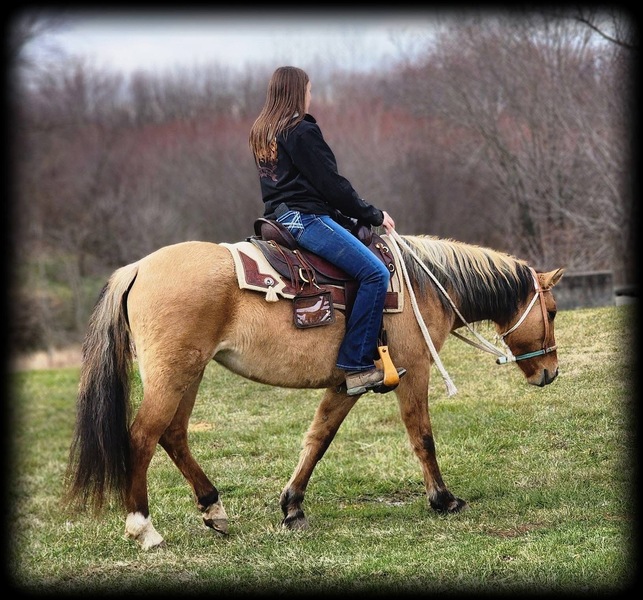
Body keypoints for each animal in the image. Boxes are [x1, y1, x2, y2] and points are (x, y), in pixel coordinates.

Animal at [64, 227, 564, 552]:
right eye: (554, 311)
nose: (550, 373)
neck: (423, 285)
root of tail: (137, 268)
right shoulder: (414, 371)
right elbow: (422, 437)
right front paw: (443, 500)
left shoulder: (347, 383)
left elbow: (318, 439)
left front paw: (292, 506)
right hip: (172, 376)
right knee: (142, 438)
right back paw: (143, 529)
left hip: (188, 375)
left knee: (173, 435)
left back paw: (213, 509)